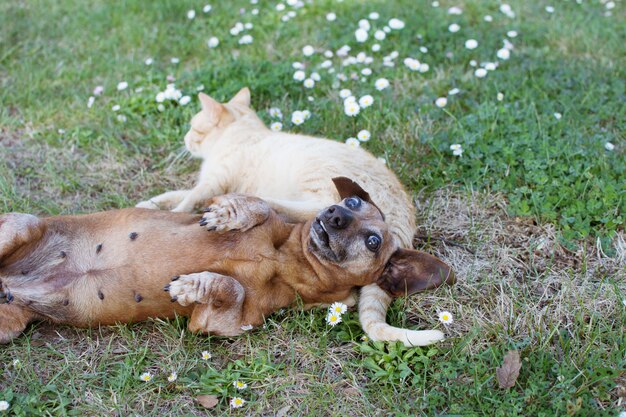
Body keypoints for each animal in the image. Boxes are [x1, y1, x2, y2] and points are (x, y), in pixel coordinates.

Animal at [0, 177, 450, 342]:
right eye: (354, 202)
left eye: (374, 241)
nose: (335, 213)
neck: (285, 262)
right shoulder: (270, 213)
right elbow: (257, 204)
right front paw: (228, 216)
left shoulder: (219, 324)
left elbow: (229, 288)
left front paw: (191, 285)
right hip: (21, 226)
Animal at [138, 87, 444, 344]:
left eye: (193, 127)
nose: (185, 139)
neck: (243, 132)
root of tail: (404, 212)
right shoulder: (207, 184)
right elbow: (174, 193)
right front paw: (147, 203)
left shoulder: (214, 181)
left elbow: (187, 199)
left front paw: (171, 214)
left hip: (318, 194)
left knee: (290, 209)